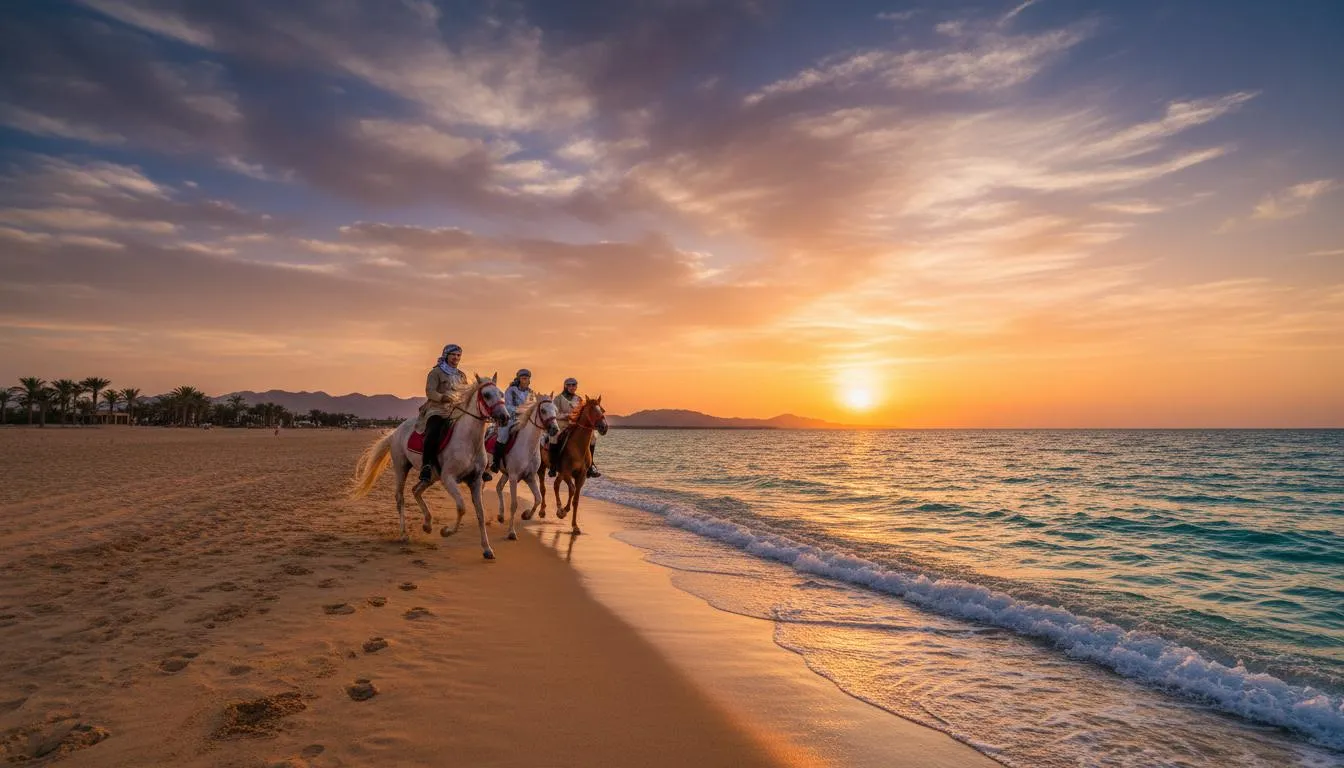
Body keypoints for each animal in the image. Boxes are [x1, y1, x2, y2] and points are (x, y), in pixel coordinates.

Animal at [350, 373, 510, 559]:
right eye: (487, 395)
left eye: (501, 394)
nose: (505, 417)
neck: (468, 441)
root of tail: (395, 432)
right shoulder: (449, 479)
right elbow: (461, 507)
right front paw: (446, 531)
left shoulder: (475, 481)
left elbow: (480, 514)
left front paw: (487, 549)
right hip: (401, 467)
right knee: (400, 497)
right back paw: (404, 534)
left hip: (431, 476)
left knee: (416, 490)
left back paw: (427, 524)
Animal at [493, 393, 560, 540]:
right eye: (543, 410)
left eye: (556, 410)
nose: (555, 429)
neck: (527, 446)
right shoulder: (513, 477)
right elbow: (514, 504)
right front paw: (511, 532)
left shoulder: (530, 477)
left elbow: (538, 498)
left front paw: (526, 515)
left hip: (505, 474)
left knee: (498, 487)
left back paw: (500, 515)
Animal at [538, 396, 608, 535]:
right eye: (592, 410)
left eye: (602, 410)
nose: (604, 427)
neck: (578, 447)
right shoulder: (566, 473)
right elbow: (571, 489)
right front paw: (563, 511)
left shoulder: (581, 476)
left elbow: (576, 499)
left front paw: (574, 525)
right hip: (543, 467)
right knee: (544, 487)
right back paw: (543, 510)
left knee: (556, 485)